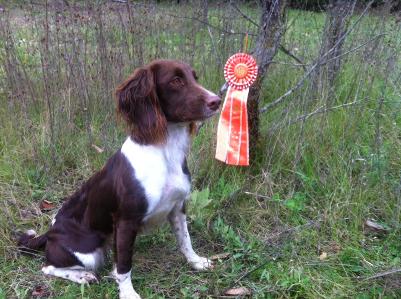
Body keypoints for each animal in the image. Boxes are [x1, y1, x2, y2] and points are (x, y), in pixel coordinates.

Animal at [17, 59, 220, 298]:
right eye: (176, 80)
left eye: (194, 78)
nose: (216, 101)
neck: (164, 149)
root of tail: (49, 233)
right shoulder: (125, 221)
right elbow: (124, 265)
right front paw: (128, 293)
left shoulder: (178, 207)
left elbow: (185, 240)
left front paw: (196, 262)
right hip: (89, 251)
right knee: (48, 267)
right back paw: (82, 276)